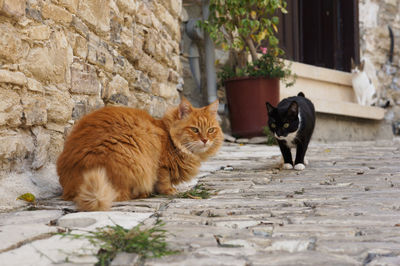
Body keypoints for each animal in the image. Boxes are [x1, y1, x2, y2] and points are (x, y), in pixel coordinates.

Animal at [57, 97, 223, 212]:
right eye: (195, 129)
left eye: (211, 130)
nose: (205, 140)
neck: (170, 138)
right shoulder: (160, 165)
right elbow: (164, 180)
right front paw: (169, 191)